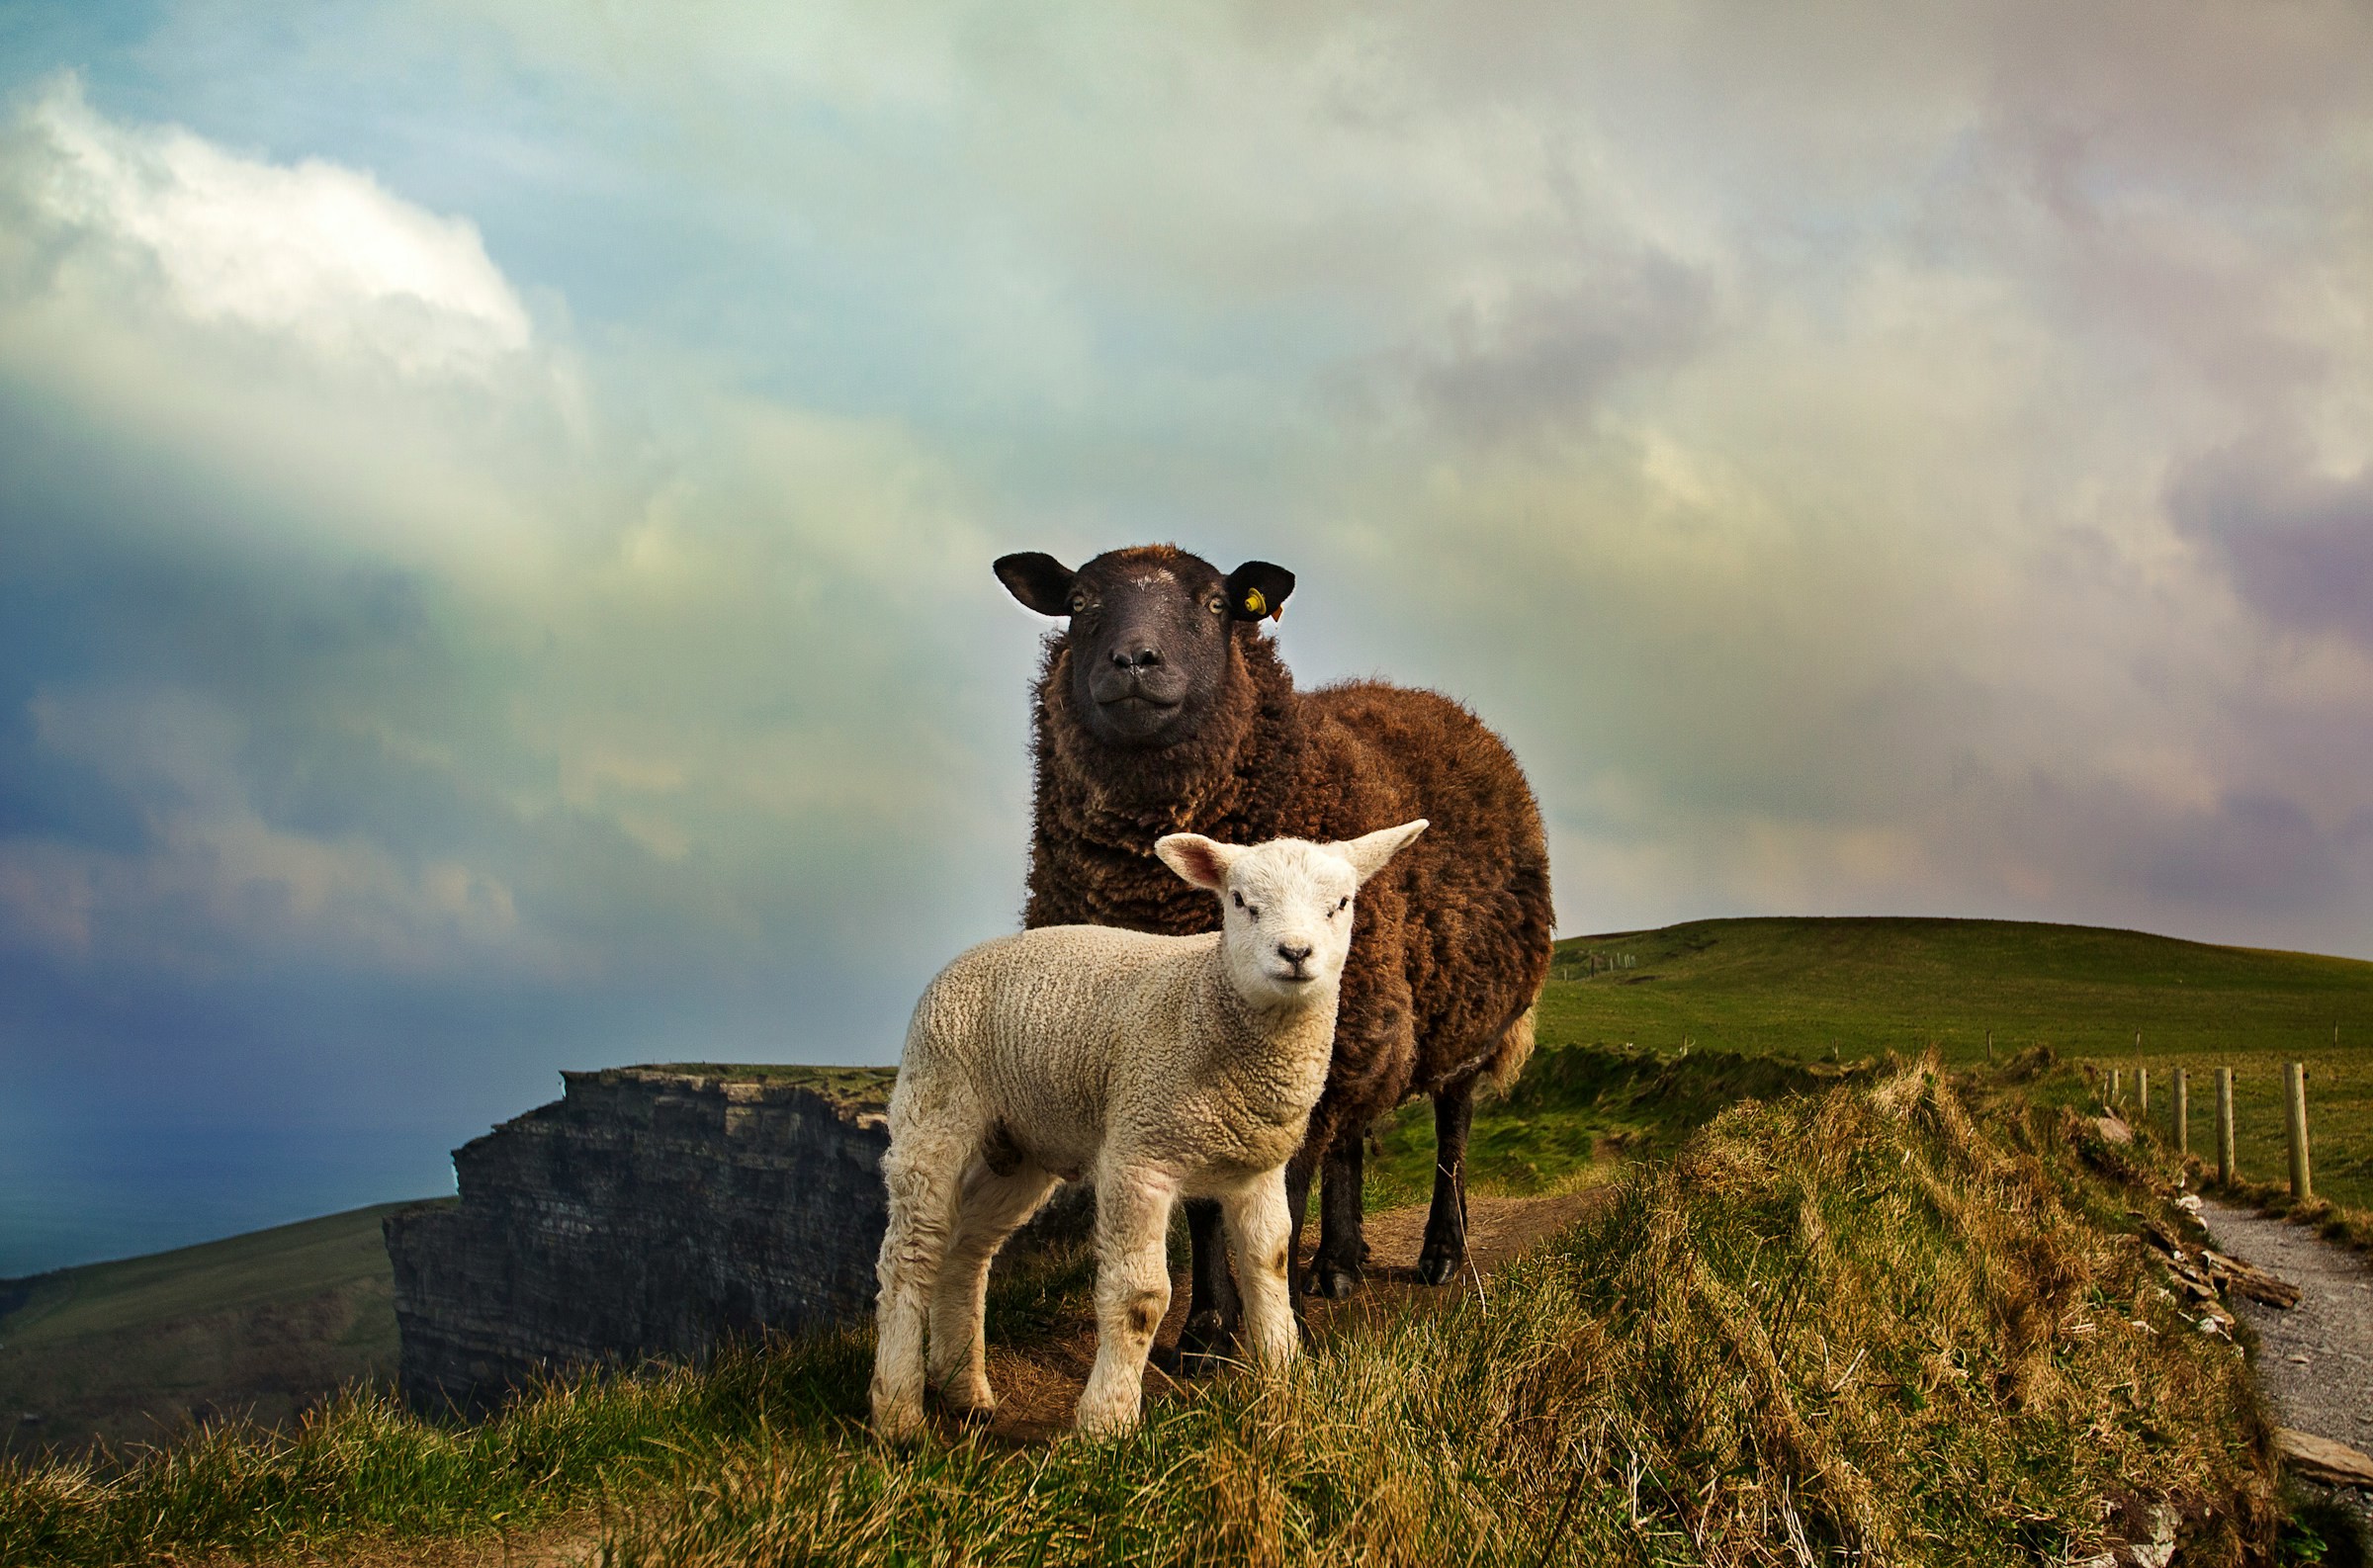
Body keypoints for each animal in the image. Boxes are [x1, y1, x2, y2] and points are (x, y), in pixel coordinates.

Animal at [873, 811, 1424, 1433]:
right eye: (1240, 901)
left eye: (1342, 903)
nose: (1296, 952)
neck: (1208, 1003)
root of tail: (964, 958)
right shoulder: (1139, 1154)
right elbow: (1141, 1298)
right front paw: (1106, 1422)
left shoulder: (1257, 1168)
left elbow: (1271, 1265)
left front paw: (1286, 1384)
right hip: (936, 1103)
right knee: (911, 1254)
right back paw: (898, 1413)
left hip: (1020, 1145)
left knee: (966, 1250)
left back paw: (963, 1390)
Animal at [987, 543, 1556, 1366]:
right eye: (1081, 603)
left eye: (1217, 604)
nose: (1134, 660)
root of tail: (1429, 698)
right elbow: (1205, 1208)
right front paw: (1204, 1333)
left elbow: (1277, 1197)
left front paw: (1266, 1332)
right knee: (1353, 1138)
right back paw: (1339, 1266)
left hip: (1461, 1016)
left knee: (1452, 1127)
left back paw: (1441, 1255)